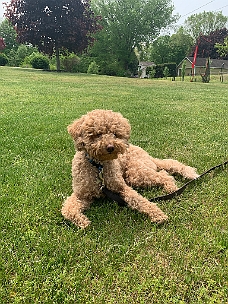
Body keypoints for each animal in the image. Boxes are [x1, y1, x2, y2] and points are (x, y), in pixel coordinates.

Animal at [61, 110, 199, 228]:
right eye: (98, 134)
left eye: (115, 134)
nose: (110, 147)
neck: (98, 166)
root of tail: (146, 154)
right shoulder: (81, 195)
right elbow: (67, 209)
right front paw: (82, 222)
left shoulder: (121, 187)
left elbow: (138, 200)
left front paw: (157, 214)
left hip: (135, 173)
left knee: (164, 174)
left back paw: (171, 188)